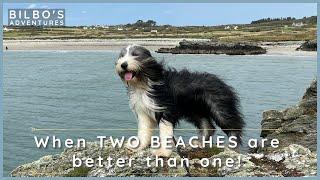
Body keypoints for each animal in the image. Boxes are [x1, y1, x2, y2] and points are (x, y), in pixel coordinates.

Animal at [115, 44, 245, 156]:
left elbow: (165, 132)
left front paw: (162, 152)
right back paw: (200, 143)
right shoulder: (143, 112)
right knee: (208, 126)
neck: (144, 83)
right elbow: (143, 130)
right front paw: (138, 146)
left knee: (233, 126)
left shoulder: (165, 110)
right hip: (195, 111)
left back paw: (233, 148)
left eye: (135, 55)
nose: (123, 65)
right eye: (122, 56)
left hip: (220, 107)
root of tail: (220, 82)